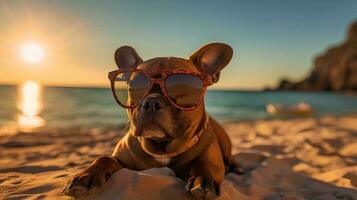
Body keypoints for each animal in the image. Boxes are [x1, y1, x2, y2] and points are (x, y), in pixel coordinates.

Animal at [63, 43, 242, 199]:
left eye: (182, 87)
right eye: (134, 86)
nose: (151, 101)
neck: (162, 149)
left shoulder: (212, 161)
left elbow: (205, 167)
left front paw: (203, 180)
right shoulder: (121, 159)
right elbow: (104, 158)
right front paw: (85, 175)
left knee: (230, 157)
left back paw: (236, 168)